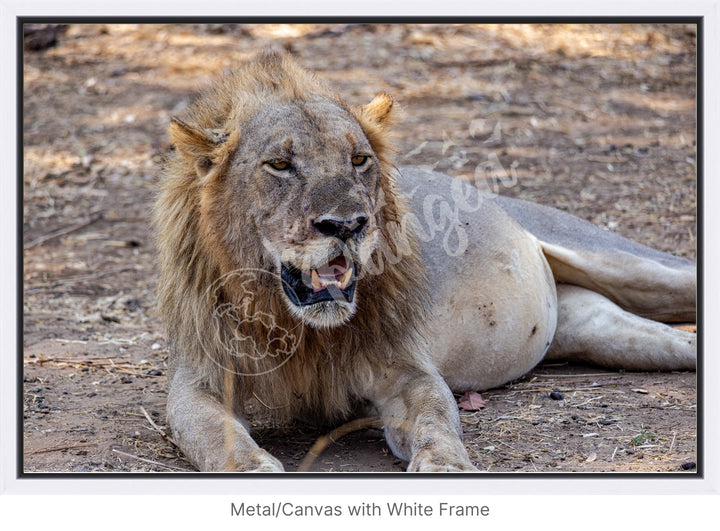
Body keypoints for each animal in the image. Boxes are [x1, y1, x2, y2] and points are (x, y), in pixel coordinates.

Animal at [153, 51, 696, 474]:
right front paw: (253, 466)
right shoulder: (200, 379)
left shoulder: (406, 369)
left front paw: (446, 464)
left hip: (627, 263)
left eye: (358, 160)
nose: (348, 225)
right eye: (280, 165)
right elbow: (215, 434)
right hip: (605, 332)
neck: (302, 330)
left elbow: (435, 417)